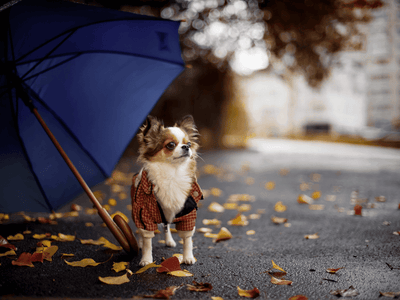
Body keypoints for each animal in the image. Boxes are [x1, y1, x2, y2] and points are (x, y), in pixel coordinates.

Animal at [132, 116, 203, 266]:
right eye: (170, 145)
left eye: (189, 143)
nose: (186, 147)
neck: (172, 173)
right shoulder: (144, 214)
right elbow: (147, 241)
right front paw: (146, 259)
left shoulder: (188, 214)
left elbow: (187, 240)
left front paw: (188, 257)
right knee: (140, 231)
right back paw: (140, 243)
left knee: (166, 227)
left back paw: (169, 240)